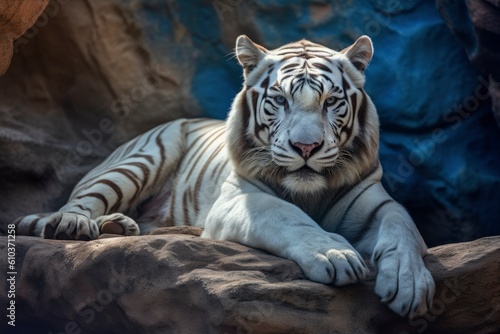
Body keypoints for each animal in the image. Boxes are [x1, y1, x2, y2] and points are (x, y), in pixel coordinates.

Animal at [15, 34, 434, 318]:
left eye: (331, 101)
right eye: (279, 100)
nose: (306, 148)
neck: (309, 193)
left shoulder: (377, 203)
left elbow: (403, 229)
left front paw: (410, 284)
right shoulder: (241, 199)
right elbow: (288, 217)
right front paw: (334, 254)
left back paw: (120, 227)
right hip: (142, 157)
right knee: (77, 203)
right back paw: (74, 224)